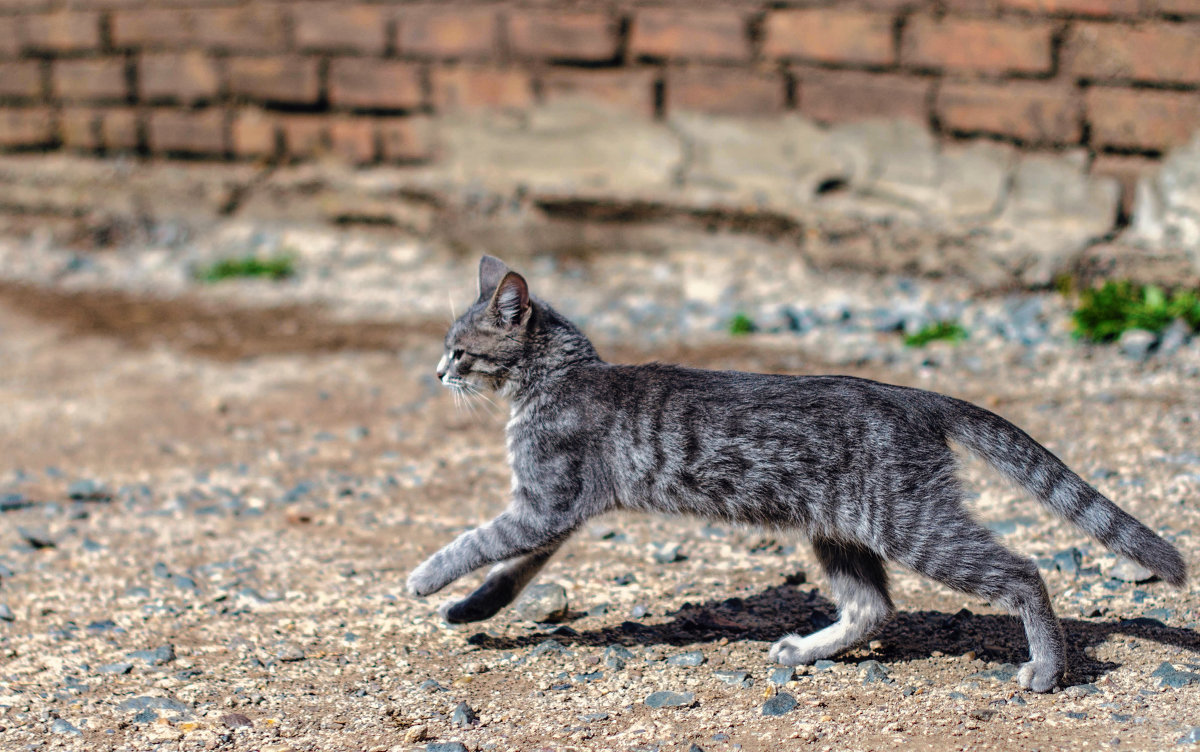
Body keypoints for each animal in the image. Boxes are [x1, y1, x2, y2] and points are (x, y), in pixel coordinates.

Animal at [408, 257, 1185, 695]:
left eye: (459, 350)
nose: (437, 373)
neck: (560, 377)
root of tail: (913, 395)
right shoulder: (554, 512)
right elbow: (512, 569)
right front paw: (471, 608)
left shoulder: (546, 503)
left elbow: (476, 542)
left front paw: (424, 578)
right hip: (840, 532)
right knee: (873, 608)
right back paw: (805, 651)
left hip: (912, 525)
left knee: (1023, 572)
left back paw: (1047, 671)